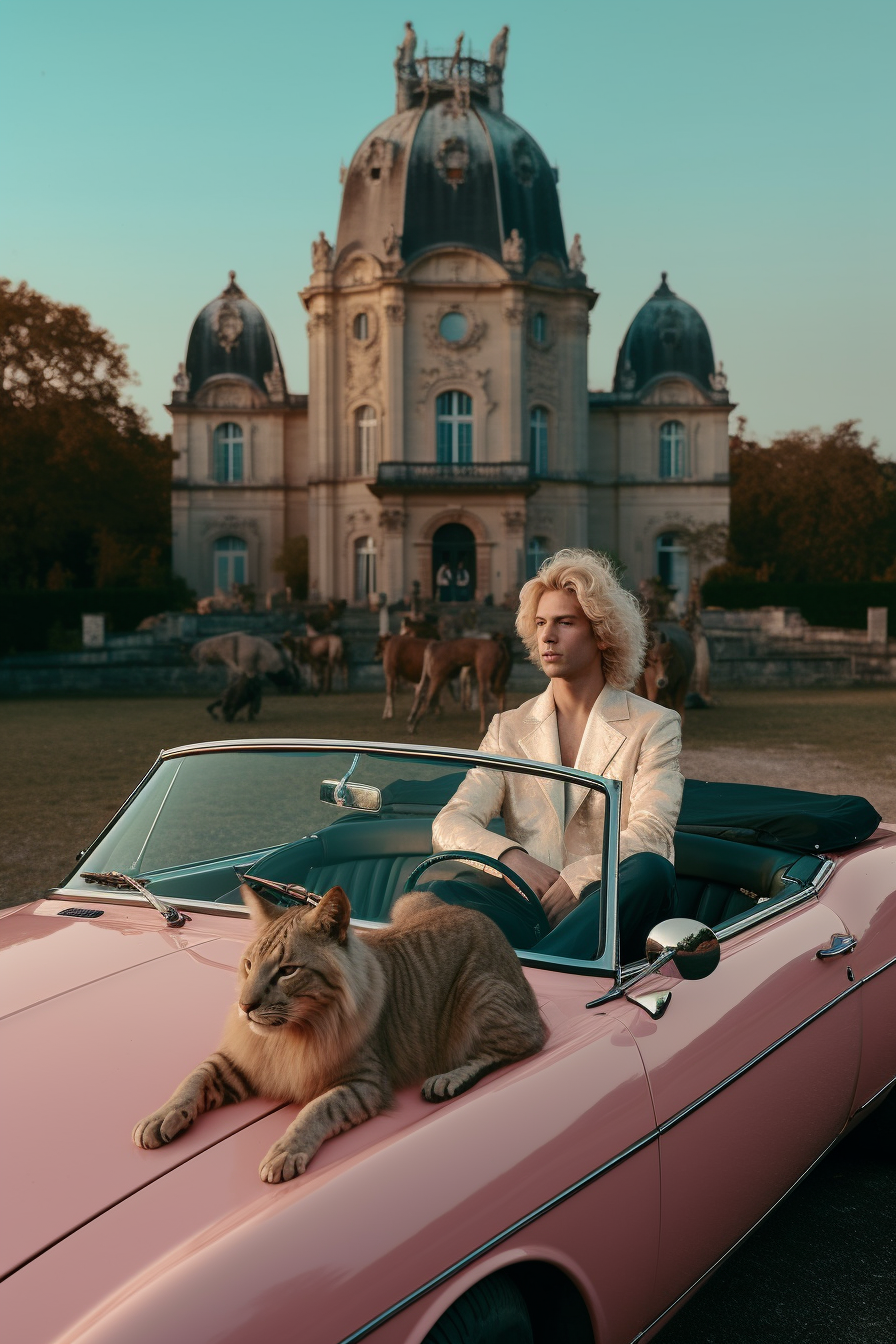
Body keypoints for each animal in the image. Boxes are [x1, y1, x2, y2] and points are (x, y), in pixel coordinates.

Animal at [129, 887, 542, 1182]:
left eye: (287, 971)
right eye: (248, 965)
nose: (245, 1006)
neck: (291, 1034)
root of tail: (483, 916)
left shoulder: (365, 1084)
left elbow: (316, 1109)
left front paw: (285, 1151)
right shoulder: (239, 1061)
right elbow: (193, 1079)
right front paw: (159, 1117)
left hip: (482, 995)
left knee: (524, 1042)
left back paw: (447, 1079)